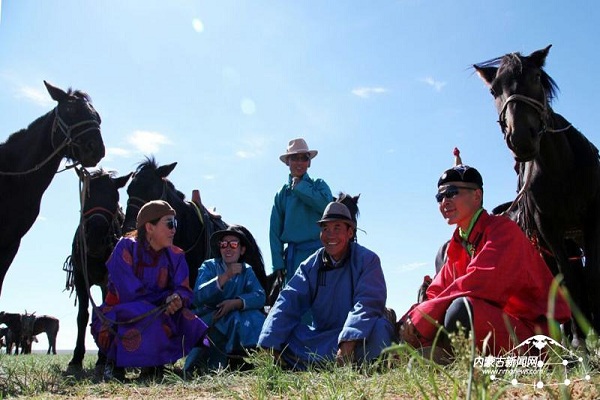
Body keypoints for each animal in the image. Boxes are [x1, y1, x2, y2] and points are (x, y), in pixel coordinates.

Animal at [63, 167, 131, 374]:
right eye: (86, 197)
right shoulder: (80, 277)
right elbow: (82, 316)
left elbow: (107, 314)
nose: (95, 239)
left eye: (114, 198)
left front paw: (102, 358)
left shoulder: (109, 279)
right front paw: (76, 358)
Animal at [474, 44, 600, 340]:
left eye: (534, 78)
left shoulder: (592, 217)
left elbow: (591, 276)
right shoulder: (548, 228)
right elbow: (569, 280)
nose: (520, 137)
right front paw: (579, 338)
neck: (562, 168)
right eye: (494, 91)